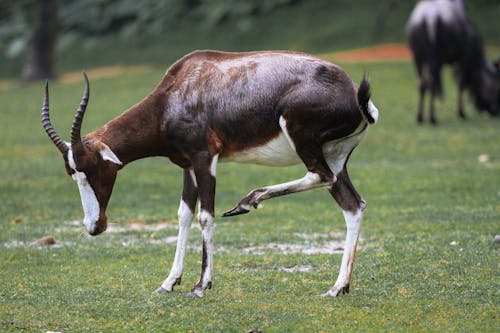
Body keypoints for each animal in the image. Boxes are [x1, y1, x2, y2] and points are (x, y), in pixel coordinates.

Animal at [41, 49, 378, 296]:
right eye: (72, 174)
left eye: (91, 169)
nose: (94, 226)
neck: (178, 88)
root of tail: (355, 95)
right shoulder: (188, 166)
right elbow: (183, 215)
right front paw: (168, 283)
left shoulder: (206, 159)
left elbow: (205, 216)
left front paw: (201, 285)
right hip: (336, 157)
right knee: (353, 205)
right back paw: (338, 287)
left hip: (304, 142)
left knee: (321, 176)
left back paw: (248, 201)